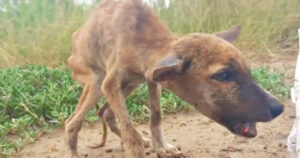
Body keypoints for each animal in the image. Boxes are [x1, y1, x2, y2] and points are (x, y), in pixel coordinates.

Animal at [65, 0, 284, 158]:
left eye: (247, 70)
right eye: (222, 75)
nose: (279, 108)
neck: (143, 39)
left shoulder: (153, 79)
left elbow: (156, 116)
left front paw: (161, 147)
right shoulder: (111, 84)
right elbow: (131, 133)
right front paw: (139, 147)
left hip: (129, 85)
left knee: (105, 113)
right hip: (96, 82)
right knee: (72, 122)